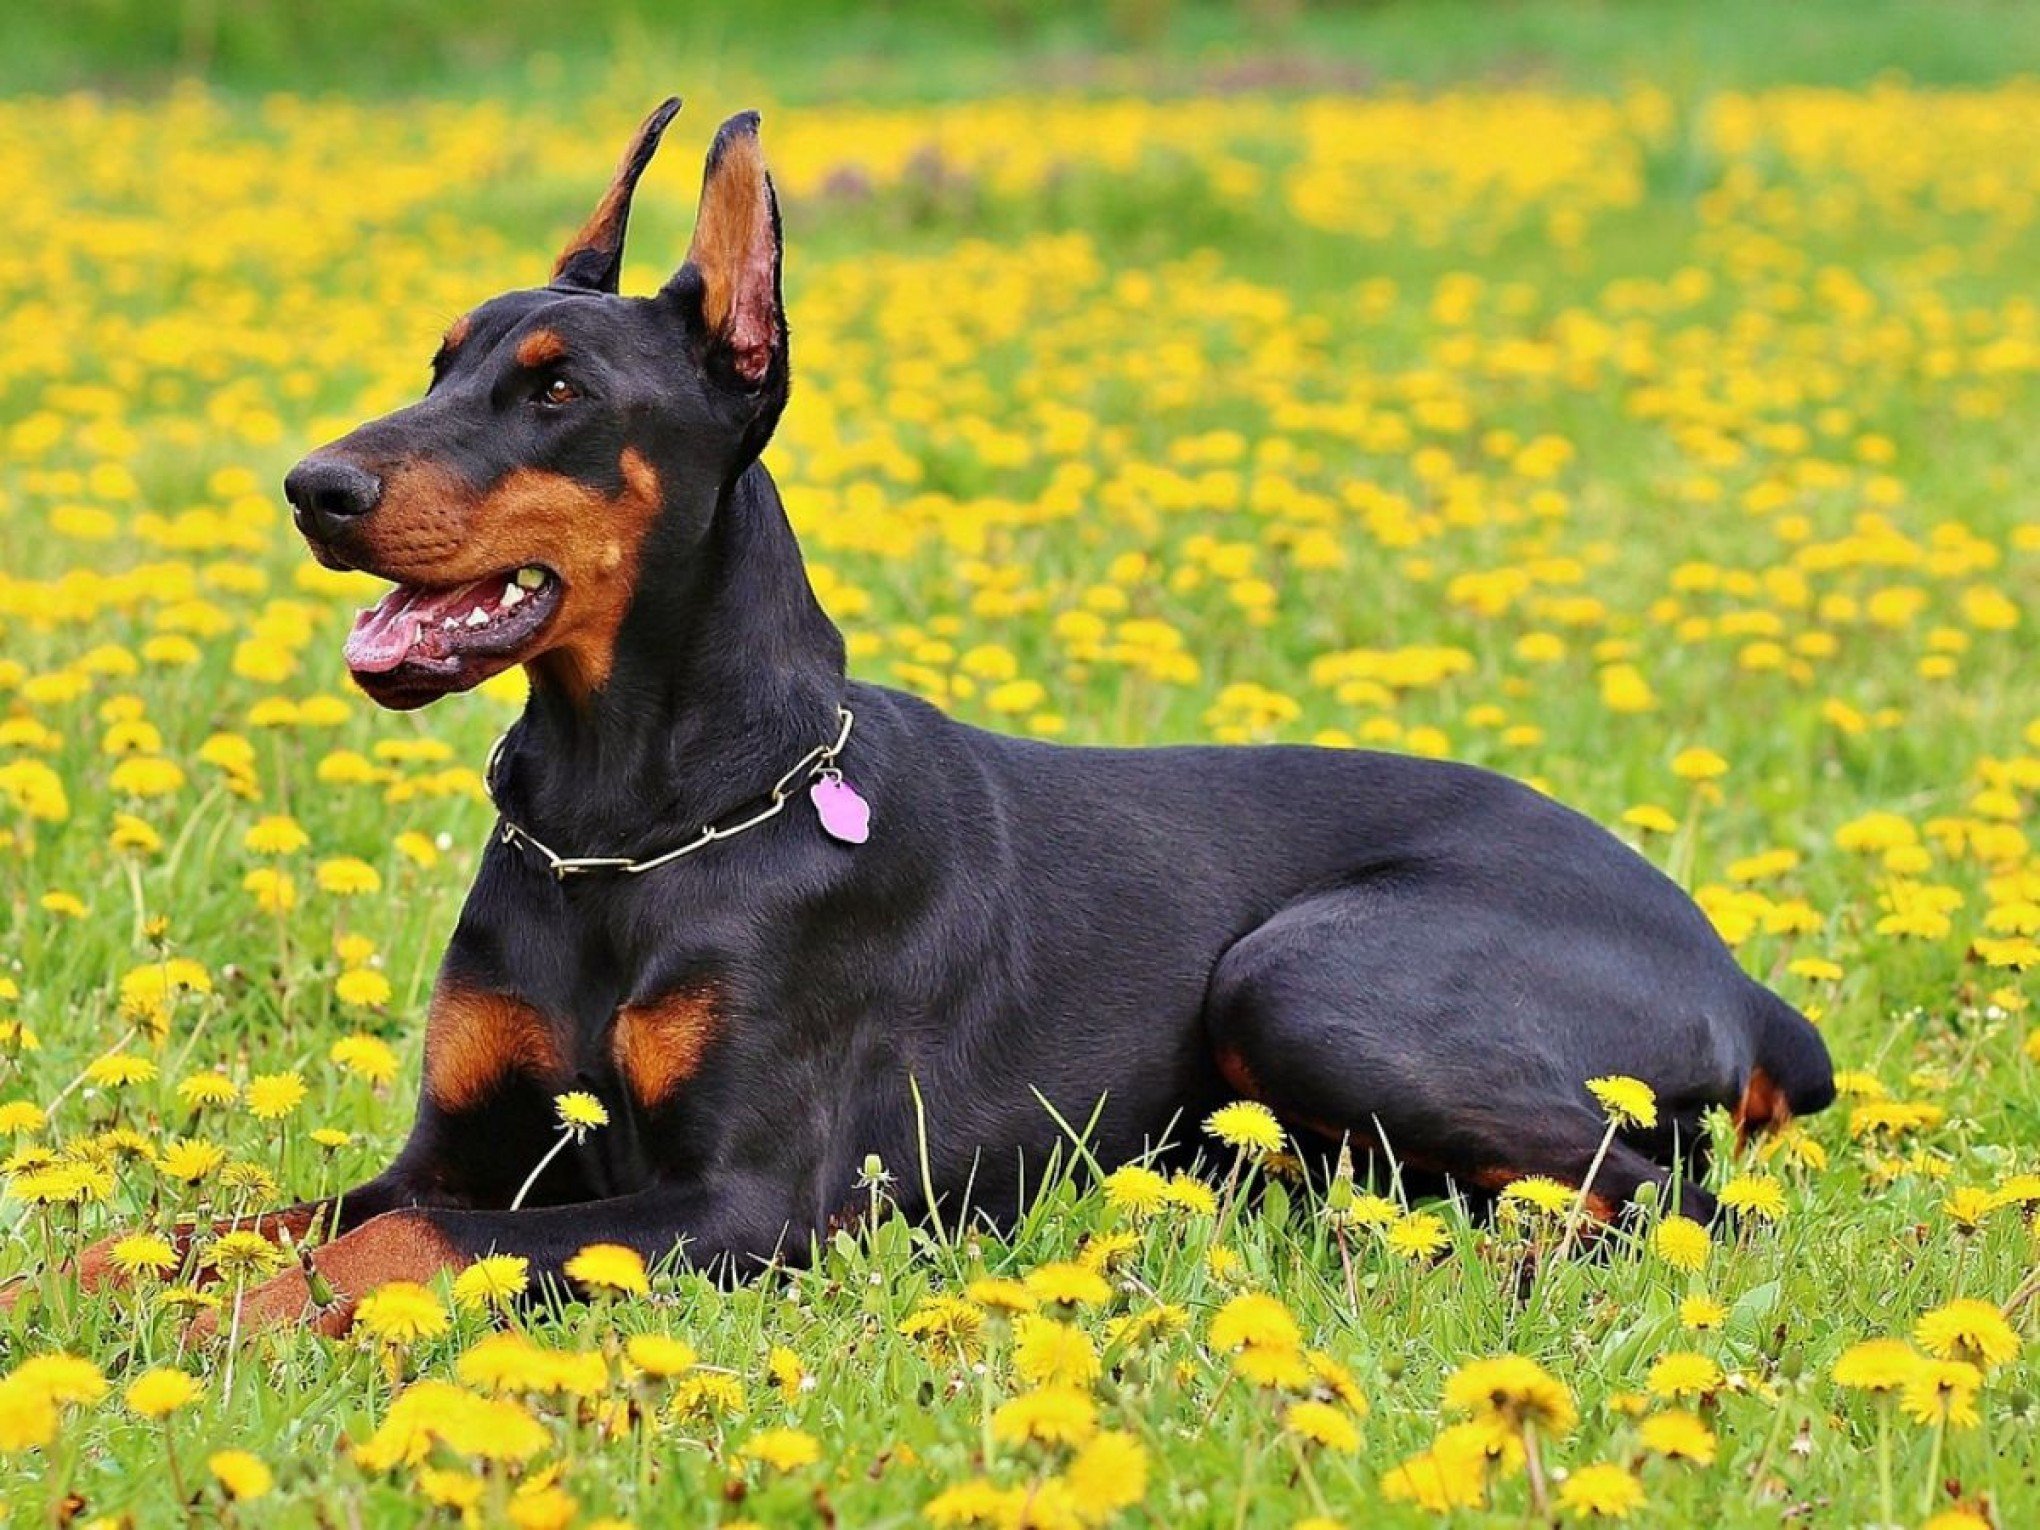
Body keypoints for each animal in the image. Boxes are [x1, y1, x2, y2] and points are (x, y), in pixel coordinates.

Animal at [75, 102, 1836, 1338]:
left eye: (557, 389)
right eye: (439, 361)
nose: (313, 486)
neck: (631, 820)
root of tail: (1739, 972)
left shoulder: (743, 1203)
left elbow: (403, 1244)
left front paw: (230, 1331)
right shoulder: (459, 1142)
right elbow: (232, 1219)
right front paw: (92, 1291)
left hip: (1313, 976)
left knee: (1675, 1204)